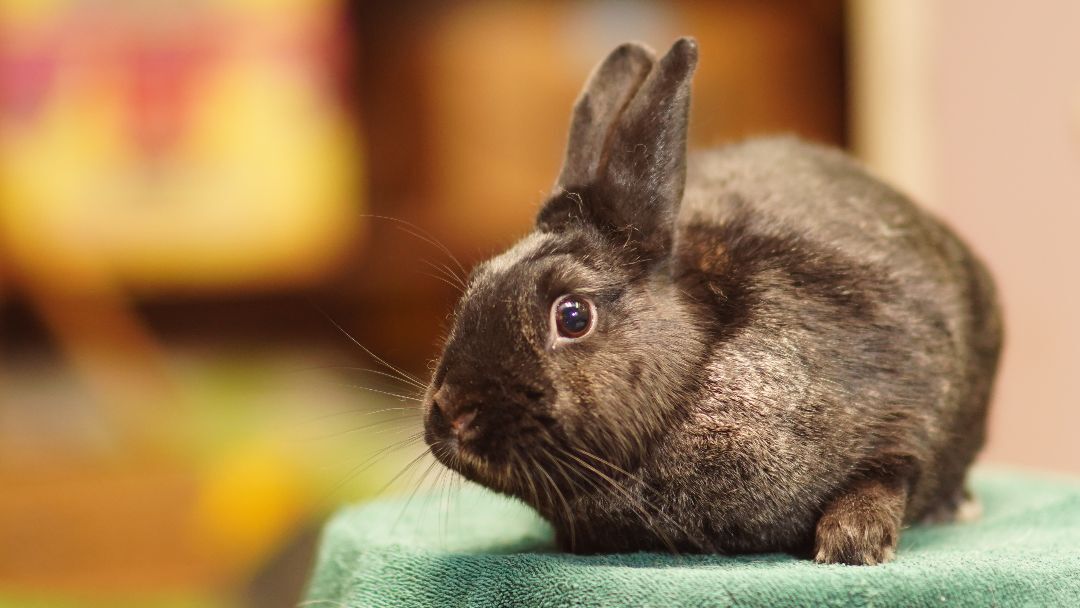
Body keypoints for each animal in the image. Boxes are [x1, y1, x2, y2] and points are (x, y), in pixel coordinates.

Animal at [421, 37, 1002, 565]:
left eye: (573, 316)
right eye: (475, 286)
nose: (453, 411)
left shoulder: (906, 405)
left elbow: (889, 470)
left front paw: (851, 546)